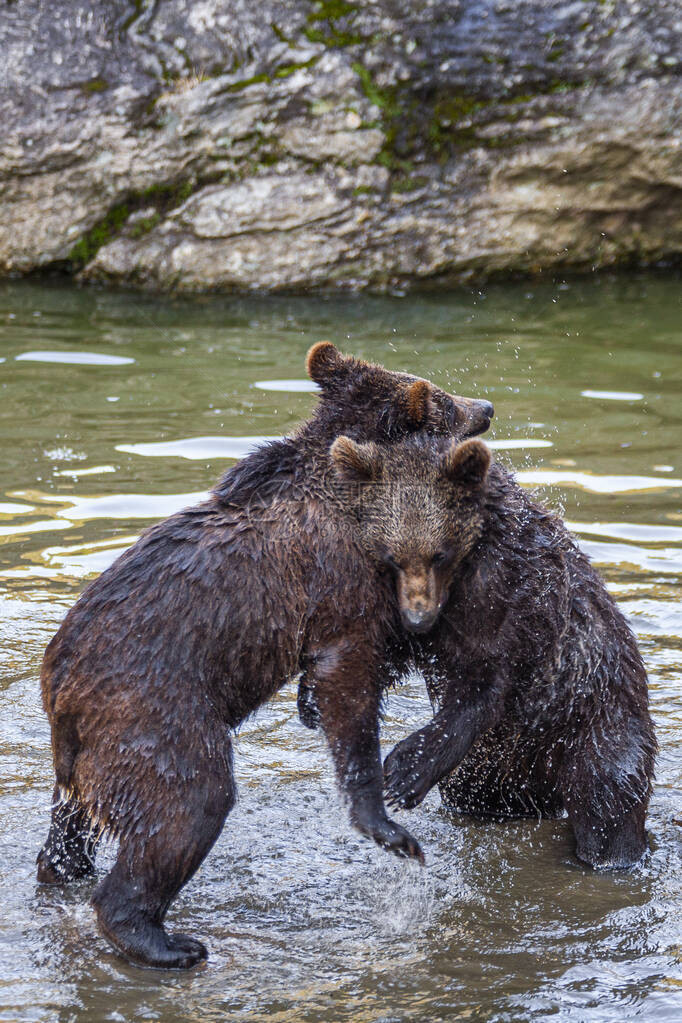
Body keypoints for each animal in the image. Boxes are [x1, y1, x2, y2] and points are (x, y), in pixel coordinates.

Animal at [37, 341, 492, 965]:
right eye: (444, 398)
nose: (487, 406)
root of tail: (58, 685)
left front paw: (308, 706)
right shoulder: (339, 578)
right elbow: (347, 677)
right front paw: (388, 827)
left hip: (87, 753)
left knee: (72, 822)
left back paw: (64, 871)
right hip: (151, 710)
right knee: (189, 801)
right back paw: (164, 941)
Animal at [327, 431, 658, 871]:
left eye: (440, 553)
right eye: (391, 556)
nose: (418, 618)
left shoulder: (511, 605)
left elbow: (483, 686)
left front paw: (404, 771)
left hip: (597, 720)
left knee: (608, 802)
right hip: (491, 770)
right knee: (477, 794)